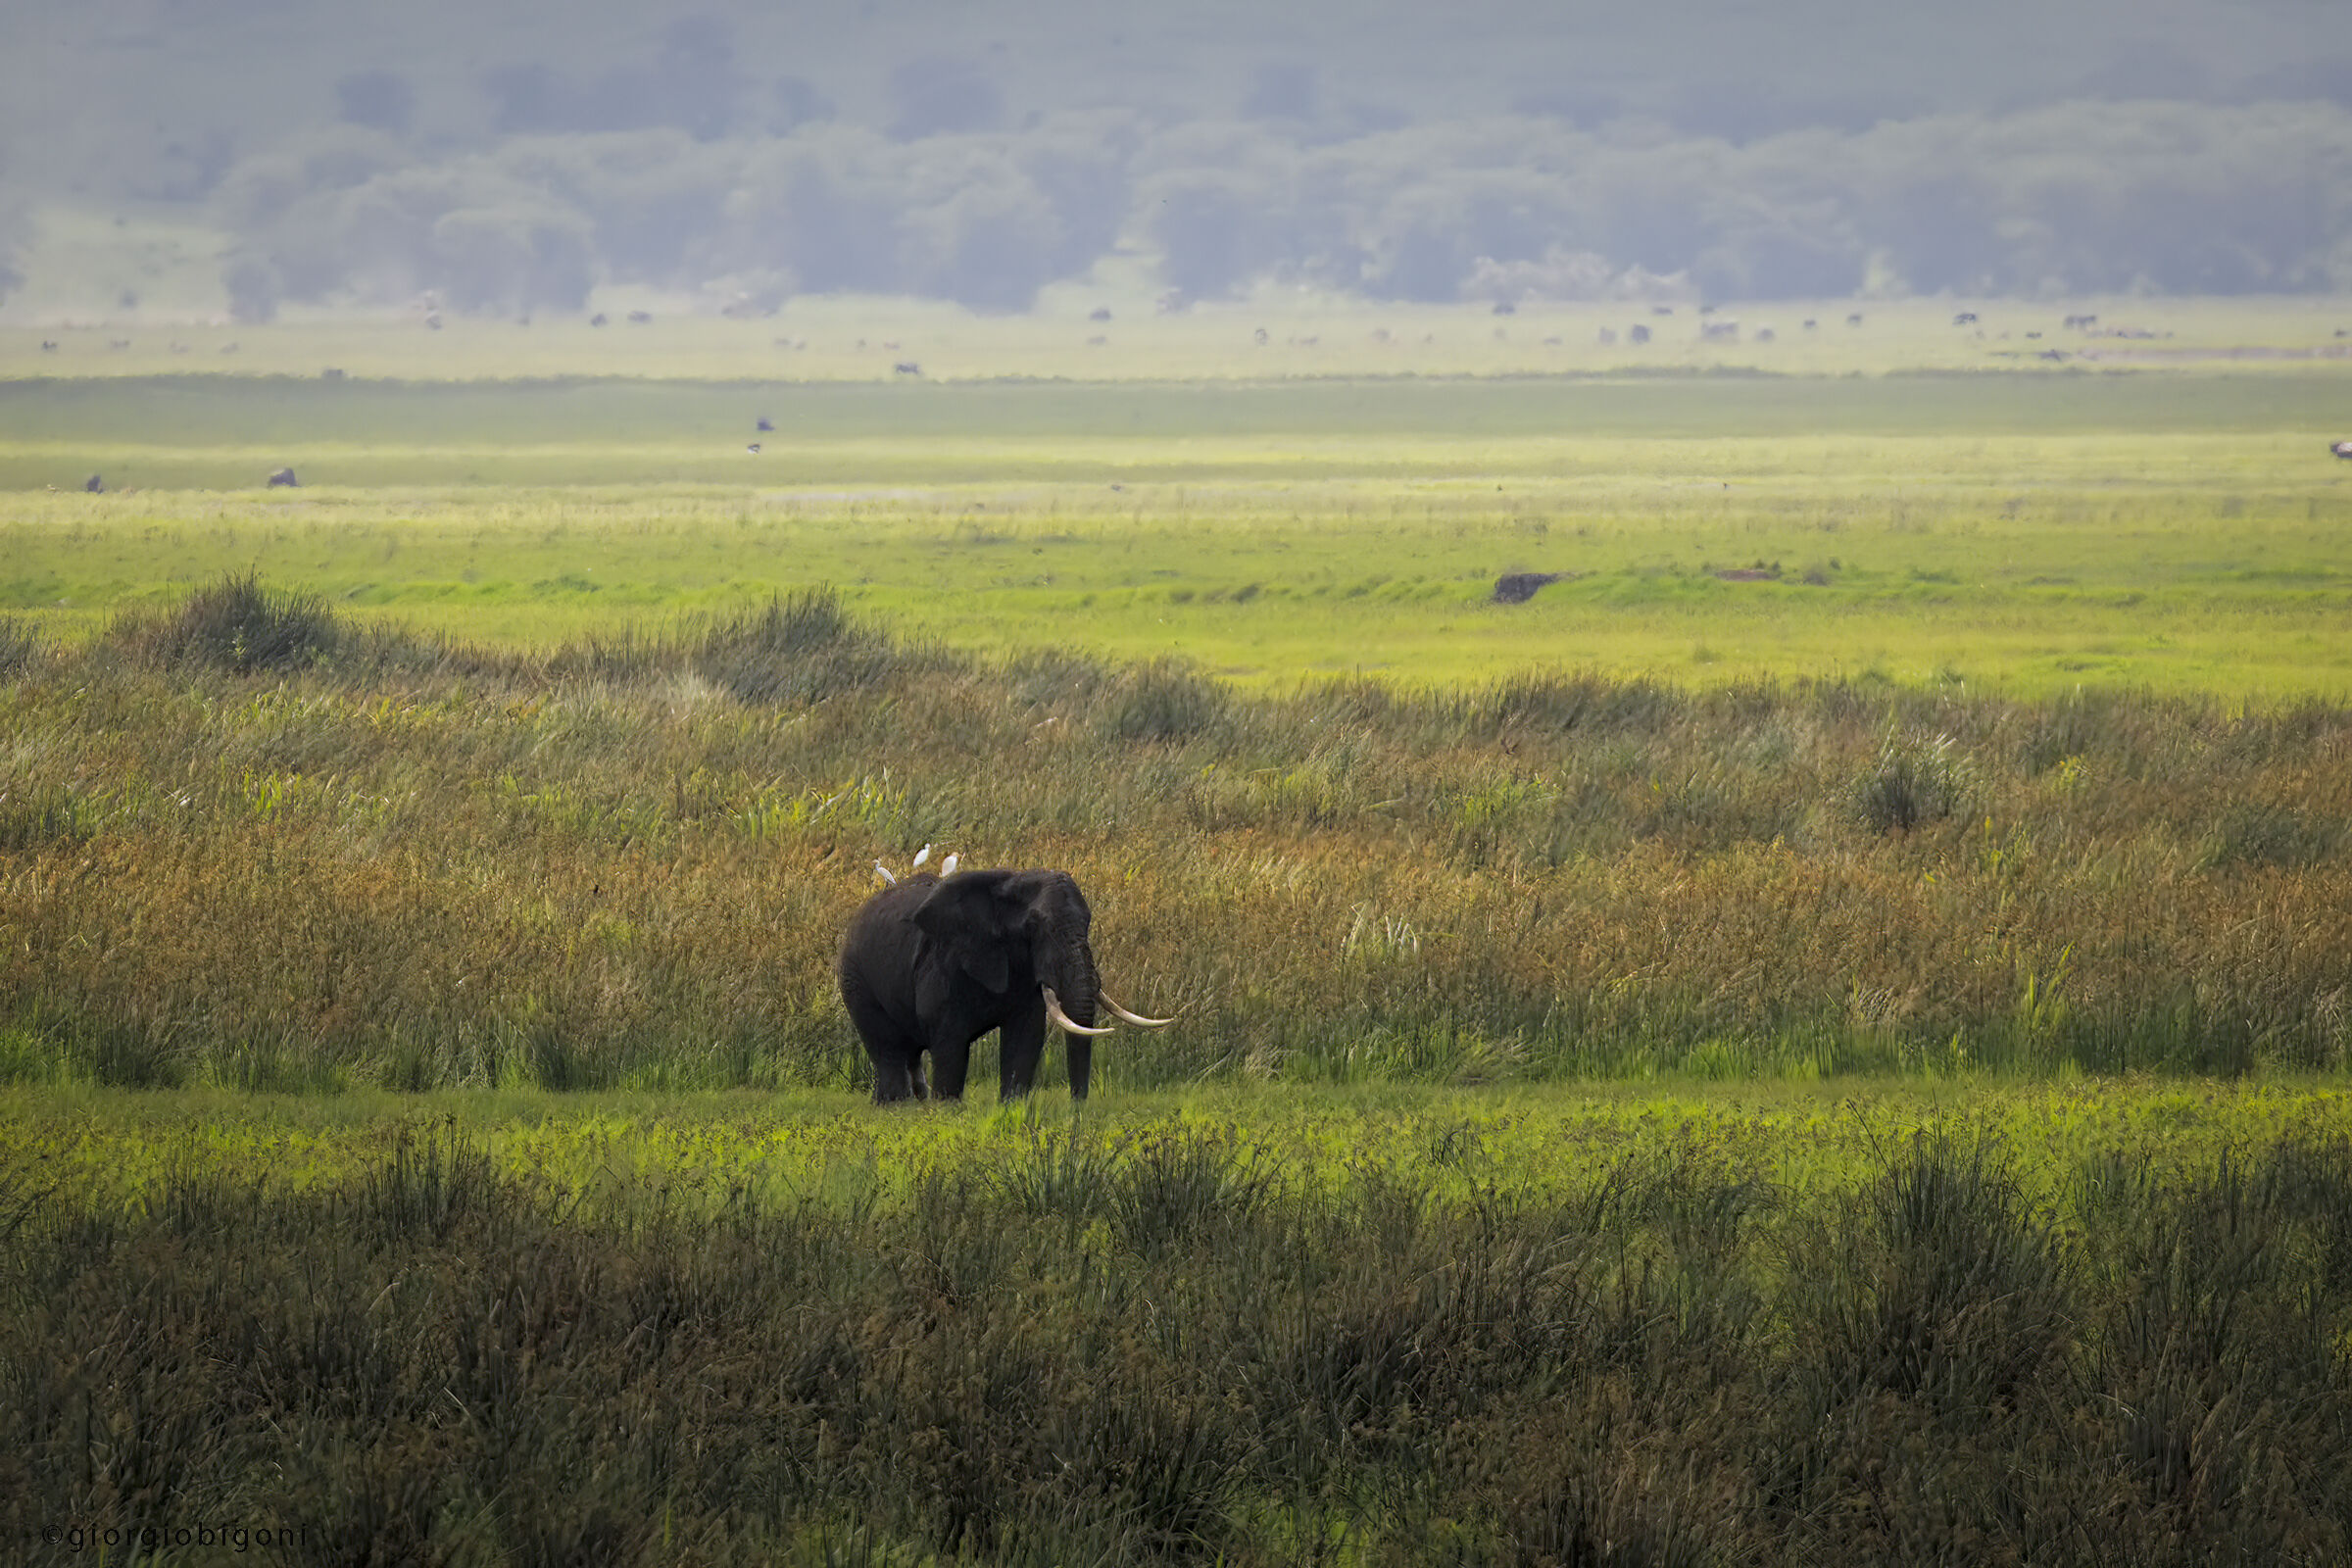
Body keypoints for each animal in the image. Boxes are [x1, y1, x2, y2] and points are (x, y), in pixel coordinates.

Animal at [837, 868, 1170, 1103]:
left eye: (1088, 923)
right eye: (1033, 928)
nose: (1077, 1104)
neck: (1012, 880)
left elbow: (1025, 1037)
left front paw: (1013, 1106)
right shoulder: (946, 957)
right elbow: (949, 1041)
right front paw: (946, 1109)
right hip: (856, 976)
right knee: (887, 1047)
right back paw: (895, 1104)